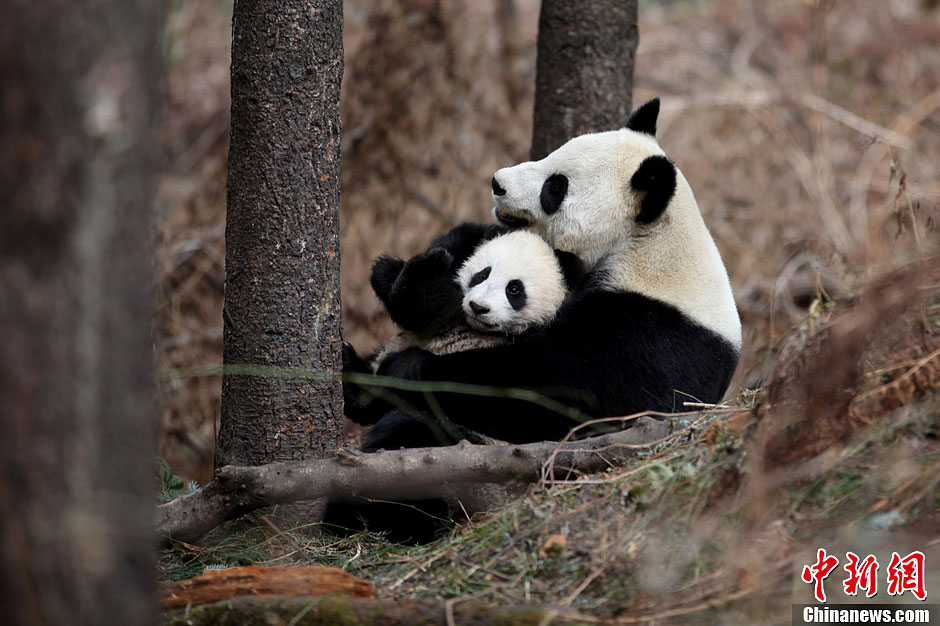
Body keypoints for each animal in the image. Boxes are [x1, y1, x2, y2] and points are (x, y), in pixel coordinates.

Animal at [356, 97, 740, 448]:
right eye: (551, 153)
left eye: (556, 186)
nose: (497, 183)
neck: (648, 243)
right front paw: (422, 281)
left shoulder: (645, 337)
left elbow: (541, 383)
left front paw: (408, 366)